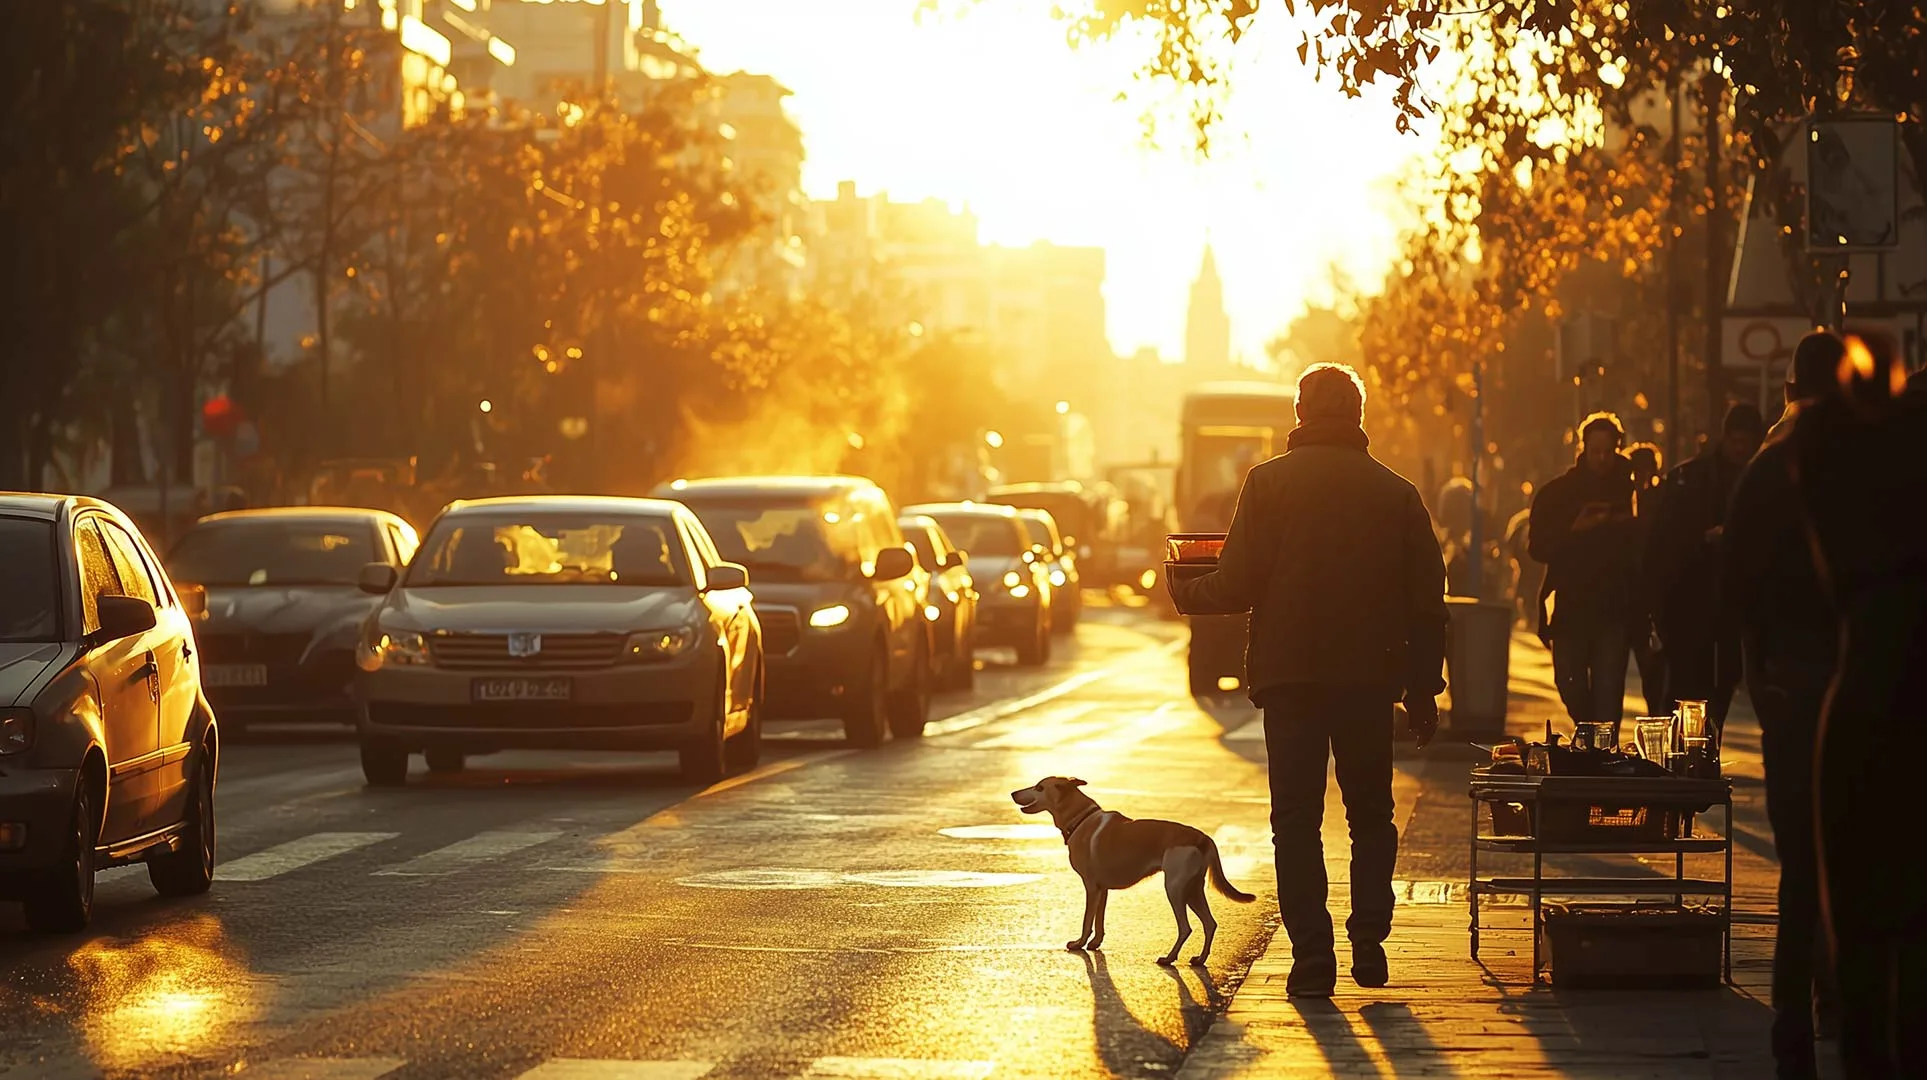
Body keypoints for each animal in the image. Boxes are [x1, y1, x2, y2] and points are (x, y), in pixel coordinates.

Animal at [1017, 771, 1256, 964]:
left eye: (1039, 787)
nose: (1012, 793)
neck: (1081, 818)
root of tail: (1203, 837)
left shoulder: (1091, 887)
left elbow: (1087, 920)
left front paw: (1079, 943)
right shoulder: (1102, 890)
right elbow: (1099, 920)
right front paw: (1095, 943)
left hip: (1175, 888)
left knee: (1186, 927)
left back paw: (1169, 958)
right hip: (1193, 889)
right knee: (1210, 923)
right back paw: (1200, 959)